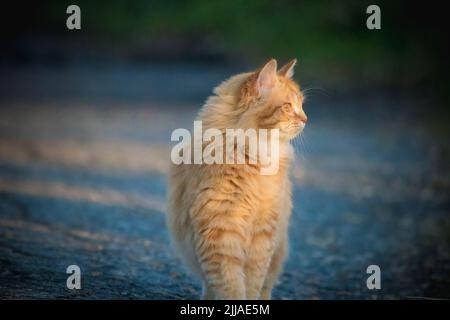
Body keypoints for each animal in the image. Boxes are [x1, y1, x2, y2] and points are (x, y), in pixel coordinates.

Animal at [167, 58, 308, 300]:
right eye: (288, 107)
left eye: (301, 105)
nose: (306, 119)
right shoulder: (221, 230)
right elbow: (230, 284)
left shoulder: (263, 235)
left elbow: (253, 282)